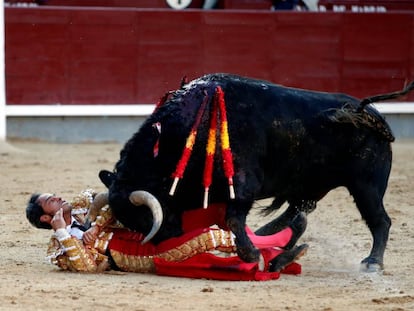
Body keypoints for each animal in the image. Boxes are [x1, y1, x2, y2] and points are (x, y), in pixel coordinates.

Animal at [101, 72, 414, 270]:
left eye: (145, 218)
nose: (165, 243)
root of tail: (370, 114)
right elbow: (231, 222)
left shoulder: (241, 186)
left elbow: (233, 220)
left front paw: (252, 255)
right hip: (311, 184)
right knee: (297, 214)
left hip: (366, 186)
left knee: (380, 221)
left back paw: (372, 263)